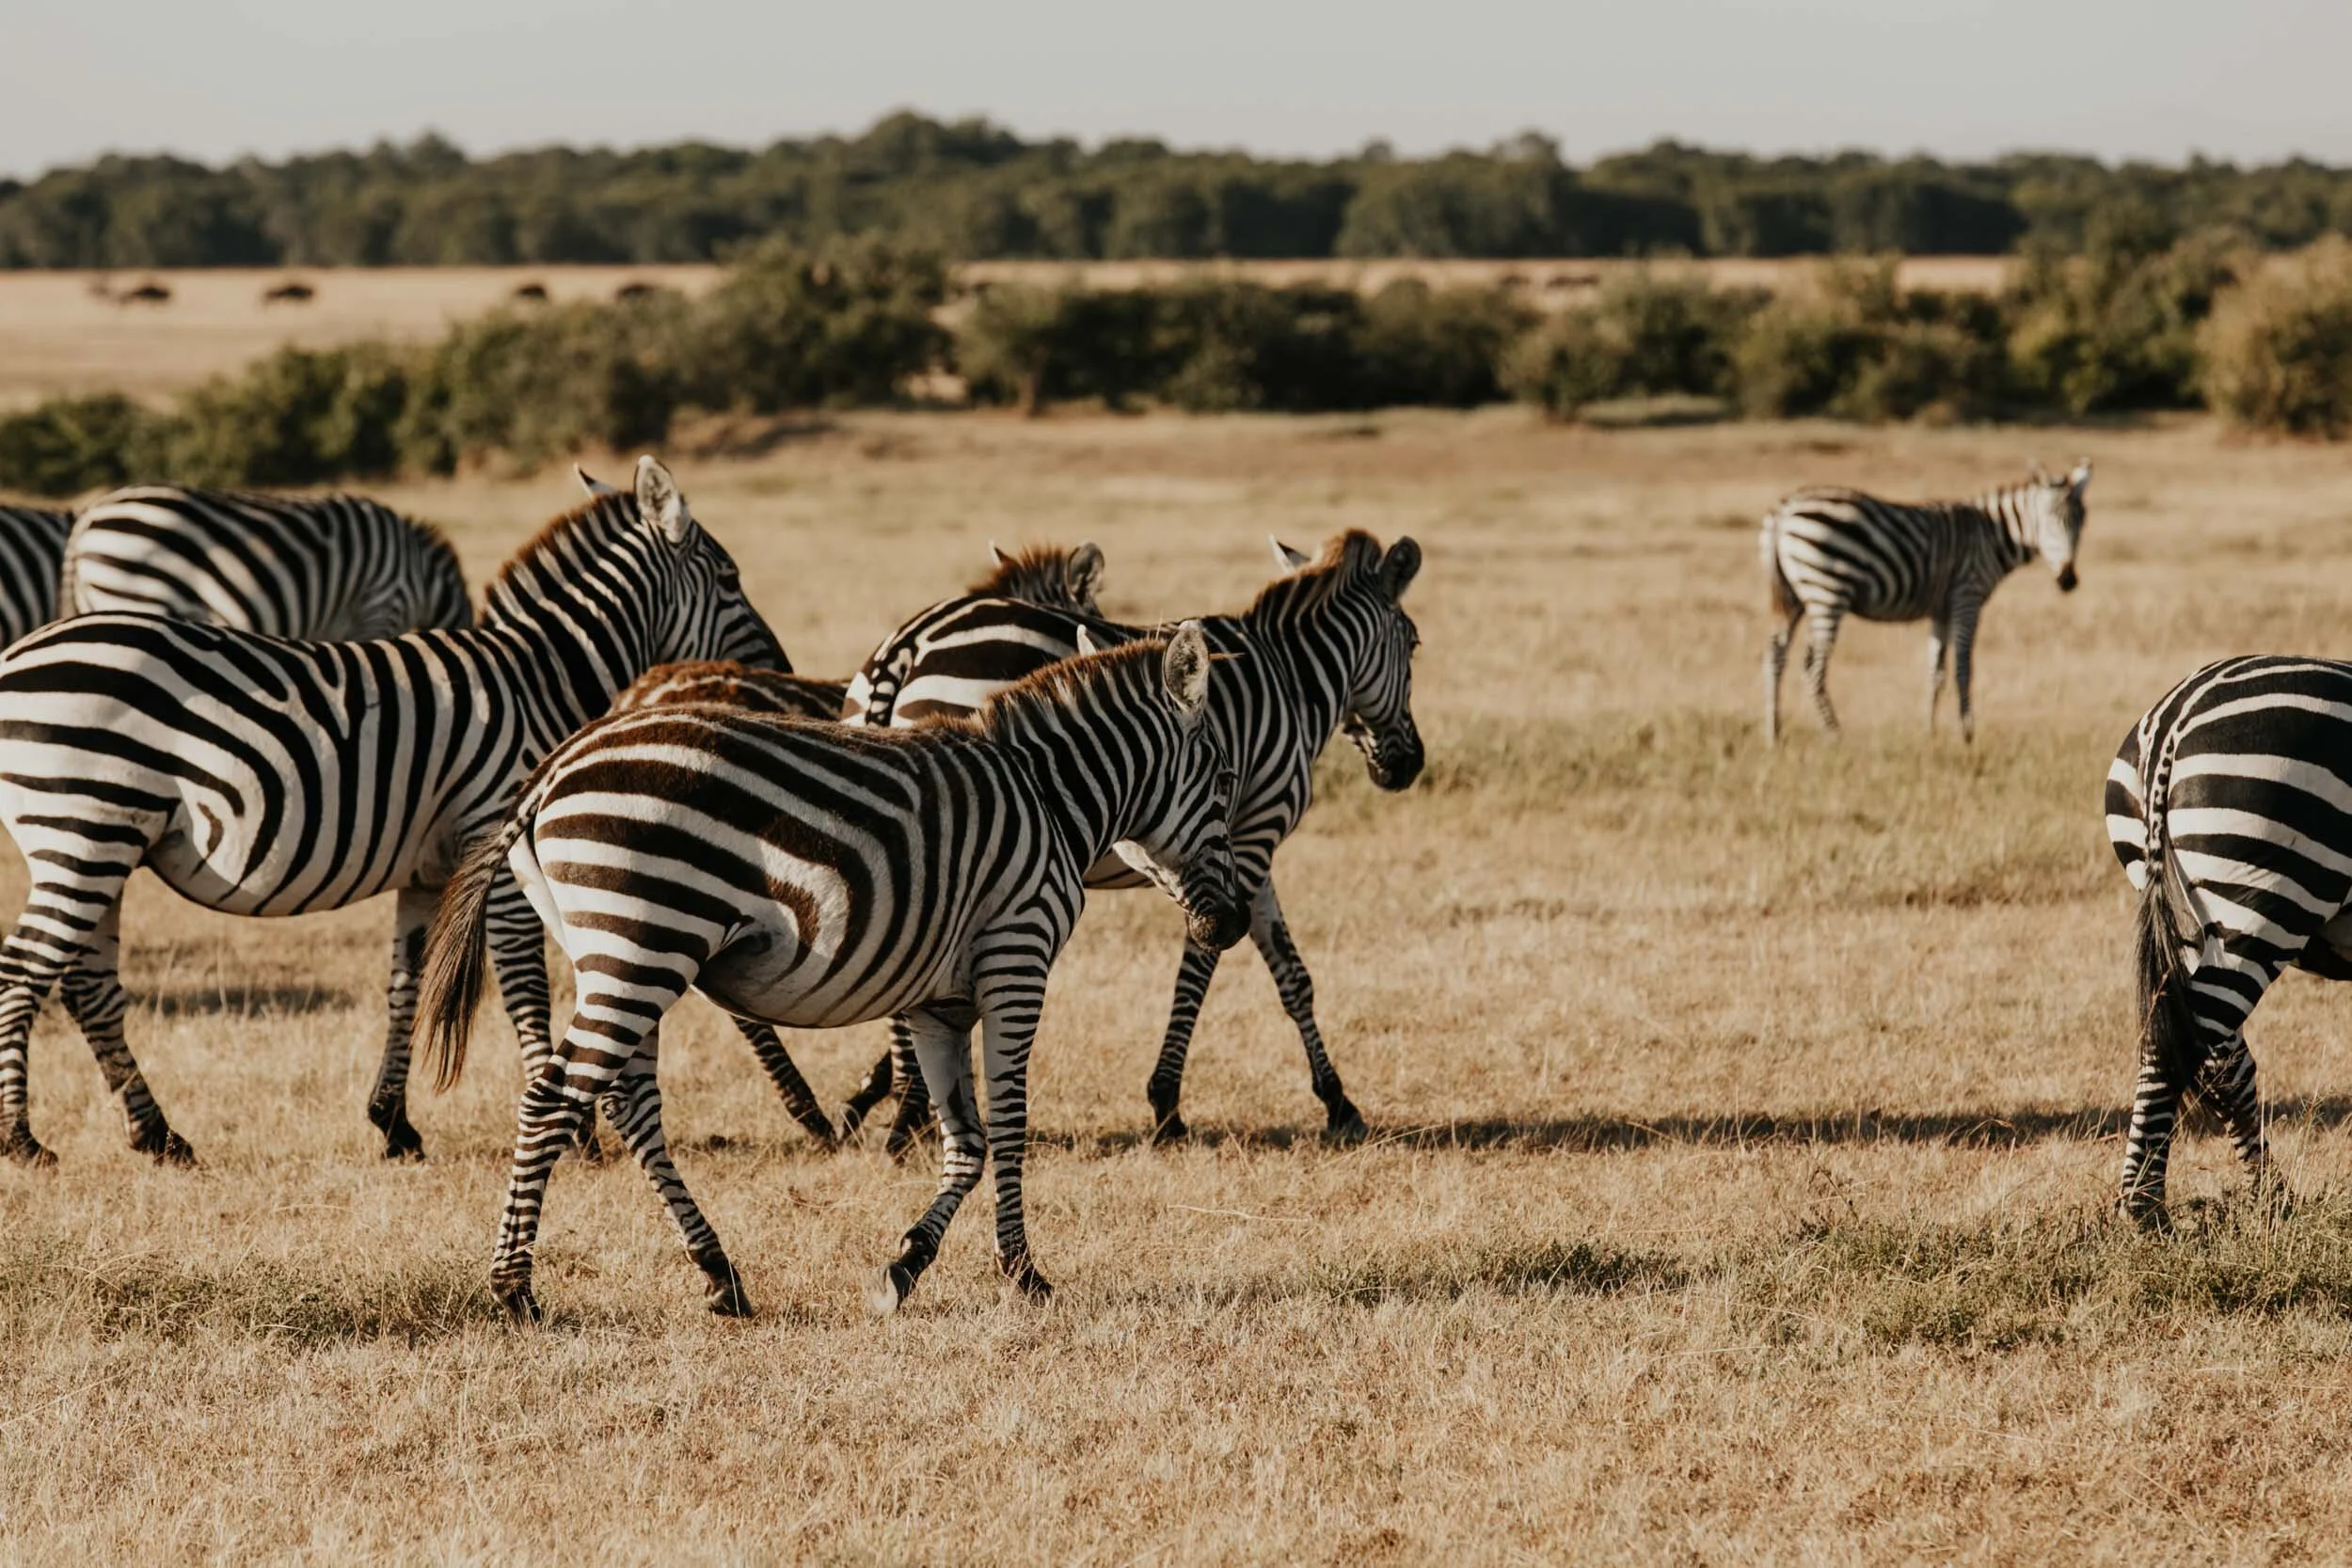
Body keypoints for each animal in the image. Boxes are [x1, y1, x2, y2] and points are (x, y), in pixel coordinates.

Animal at [413, 627, 1249, 1322]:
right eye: (1221, 781)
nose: (1234, 922)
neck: (1050, 798)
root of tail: (552, 768)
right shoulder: (1017, 953)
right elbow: (1010, 1126)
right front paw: (1023, 1273)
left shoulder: (938, 999)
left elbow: (965, 1140)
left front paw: (906, 1265)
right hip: (645, 941)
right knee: (553, 1097)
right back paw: (514, 1288)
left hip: (615, 951)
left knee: (628, 1102)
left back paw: (719, 1274)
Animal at [837, 529, 1423, 1149]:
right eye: (1414, 645)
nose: (1408, 768)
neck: (1292, 679)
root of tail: (909, 643)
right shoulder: (1254, 834)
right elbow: (1202, 969)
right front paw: (1167, 1102)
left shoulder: (1241, 848)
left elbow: (1292, 975)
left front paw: (1337, 1099)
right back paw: (908, 1115)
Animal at [1761, 461, 2090, 745]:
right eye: (2048, 520)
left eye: (2081, 522)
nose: (2068, 579)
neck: (1992, 536)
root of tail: (1784, 509)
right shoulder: (1967, 597)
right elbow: (1963, 668)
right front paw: (1966, 734)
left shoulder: (1940, 610)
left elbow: (1936, 672)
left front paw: (1928, 732)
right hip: (1827, 591)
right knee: (1813, 669)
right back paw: (1835, 734)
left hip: (1793, 597)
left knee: (1775, 656)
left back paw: (1774, 733)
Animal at [2104, 654, 2352, 1226]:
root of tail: (2175, 717)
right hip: (2264, 893)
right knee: (2185, 1045)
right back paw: (2145, 1211)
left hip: (2190, 916)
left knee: (2213, 1052)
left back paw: (2272, 1199)